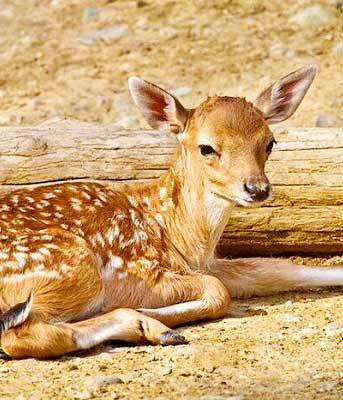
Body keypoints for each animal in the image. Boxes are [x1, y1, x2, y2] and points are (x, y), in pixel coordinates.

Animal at [0, 65, 343, 360]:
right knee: (21, 335)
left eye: (270, 142)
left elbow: (281, 269)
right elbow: (219, 291)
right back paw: (153, 327)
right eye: (206, 147)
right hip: (71, 265)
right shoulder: (136, 270)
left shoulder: (210, 264)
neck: (182, 237)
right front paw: (151, 312)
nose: (257, 188)